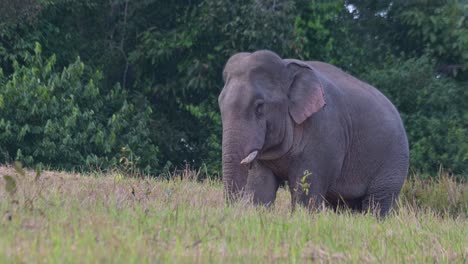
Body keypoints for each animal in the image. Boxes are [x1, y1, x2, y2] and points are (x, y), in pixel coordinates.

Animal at [218, 50, 408, 217]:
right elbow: (260, 187)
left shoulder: (323, 132)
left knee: (378, 203)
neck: (286, 66)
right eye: (220, 104)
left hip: (393, 163)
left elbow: (307, 191)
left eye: (259, 107)